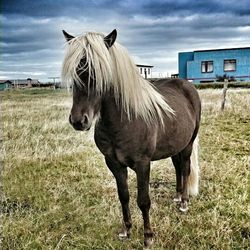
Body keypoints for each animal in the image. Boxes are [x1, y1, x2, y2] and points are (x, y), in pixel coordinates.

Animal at [62, 29, 201, 248]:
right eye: (75, 72)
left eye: (100, 73)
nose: (78, 121)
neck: (124, 121)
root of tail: (188, 86)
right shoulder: (114, 163)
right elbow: (124, 196)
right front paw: (126, 230)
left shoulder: (142, 164)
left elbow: (143, 200)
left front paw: (148, 236)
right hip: (175, 146)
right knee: (178, 168)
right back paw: (178, 197)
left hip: (188, 144)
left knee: (185, 168)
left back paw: (184, 203)